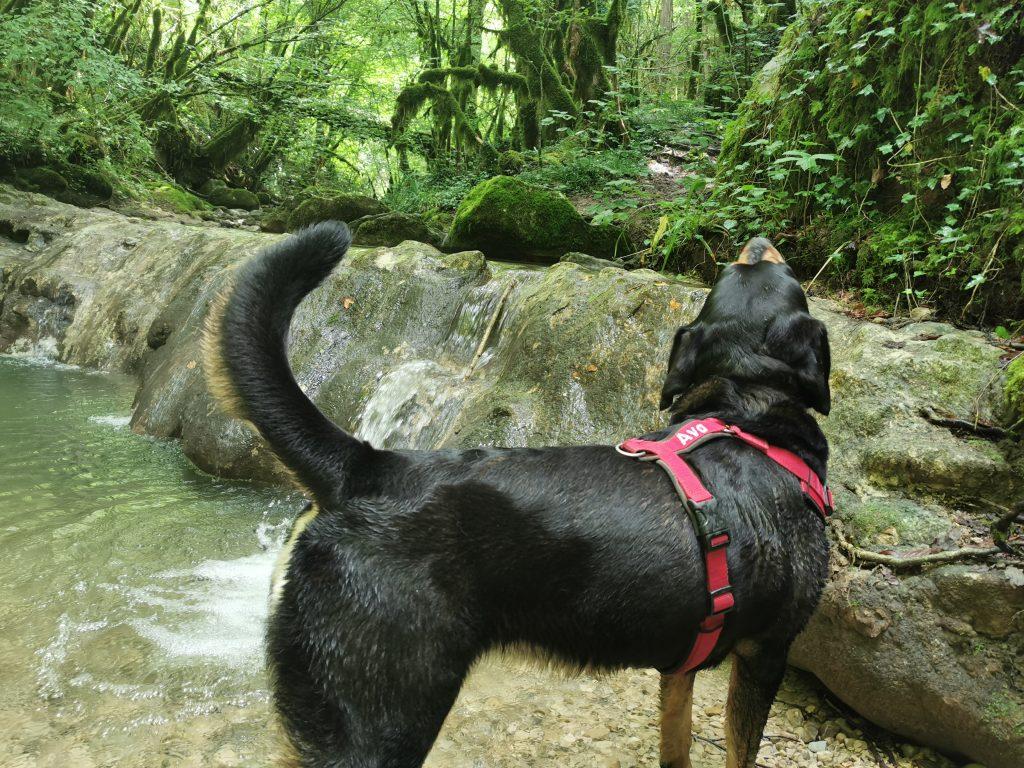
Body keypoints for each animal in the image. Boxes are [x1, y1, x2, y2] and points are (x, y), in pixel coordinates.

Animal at [203, 223, 831, 768]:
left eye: (747, 266)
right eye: (777, 268)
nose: (758, 237)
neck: (744, 408)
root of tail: (367, 466)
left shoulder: (682, 664)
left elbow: (675, 744)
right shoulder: (766, 652)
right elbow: (739, 750)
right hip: (380, 719)